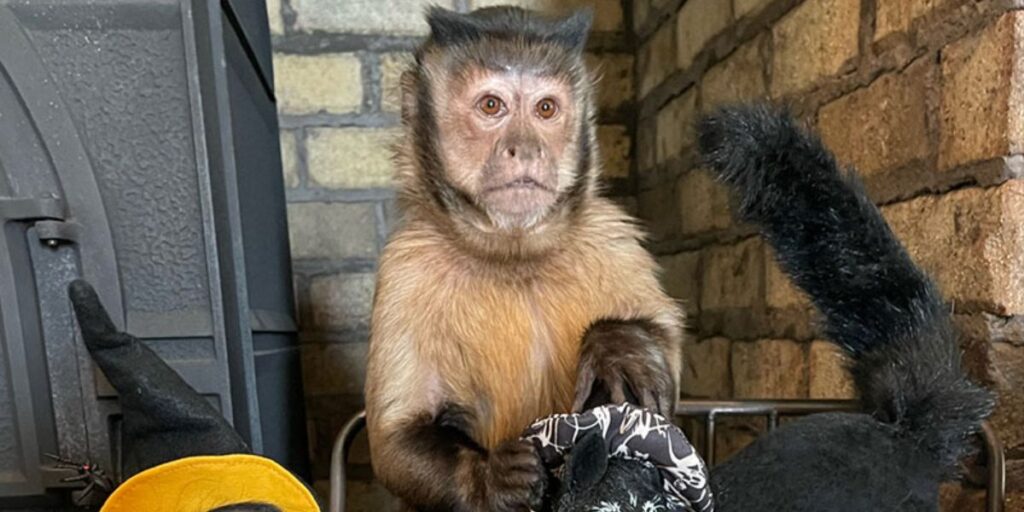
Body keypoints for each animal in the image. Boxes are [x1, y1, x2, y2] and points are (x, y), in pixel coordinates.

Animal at [363, 6, 685, 512]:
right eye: (492, 106)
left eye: (546, 109)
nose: (528, 148)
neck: (513, 258)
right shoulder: (406, 265)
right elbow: (395, 440)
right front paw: (491, 479)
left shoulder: (610, 235)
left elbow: (668, 358)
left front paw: (619, 344)